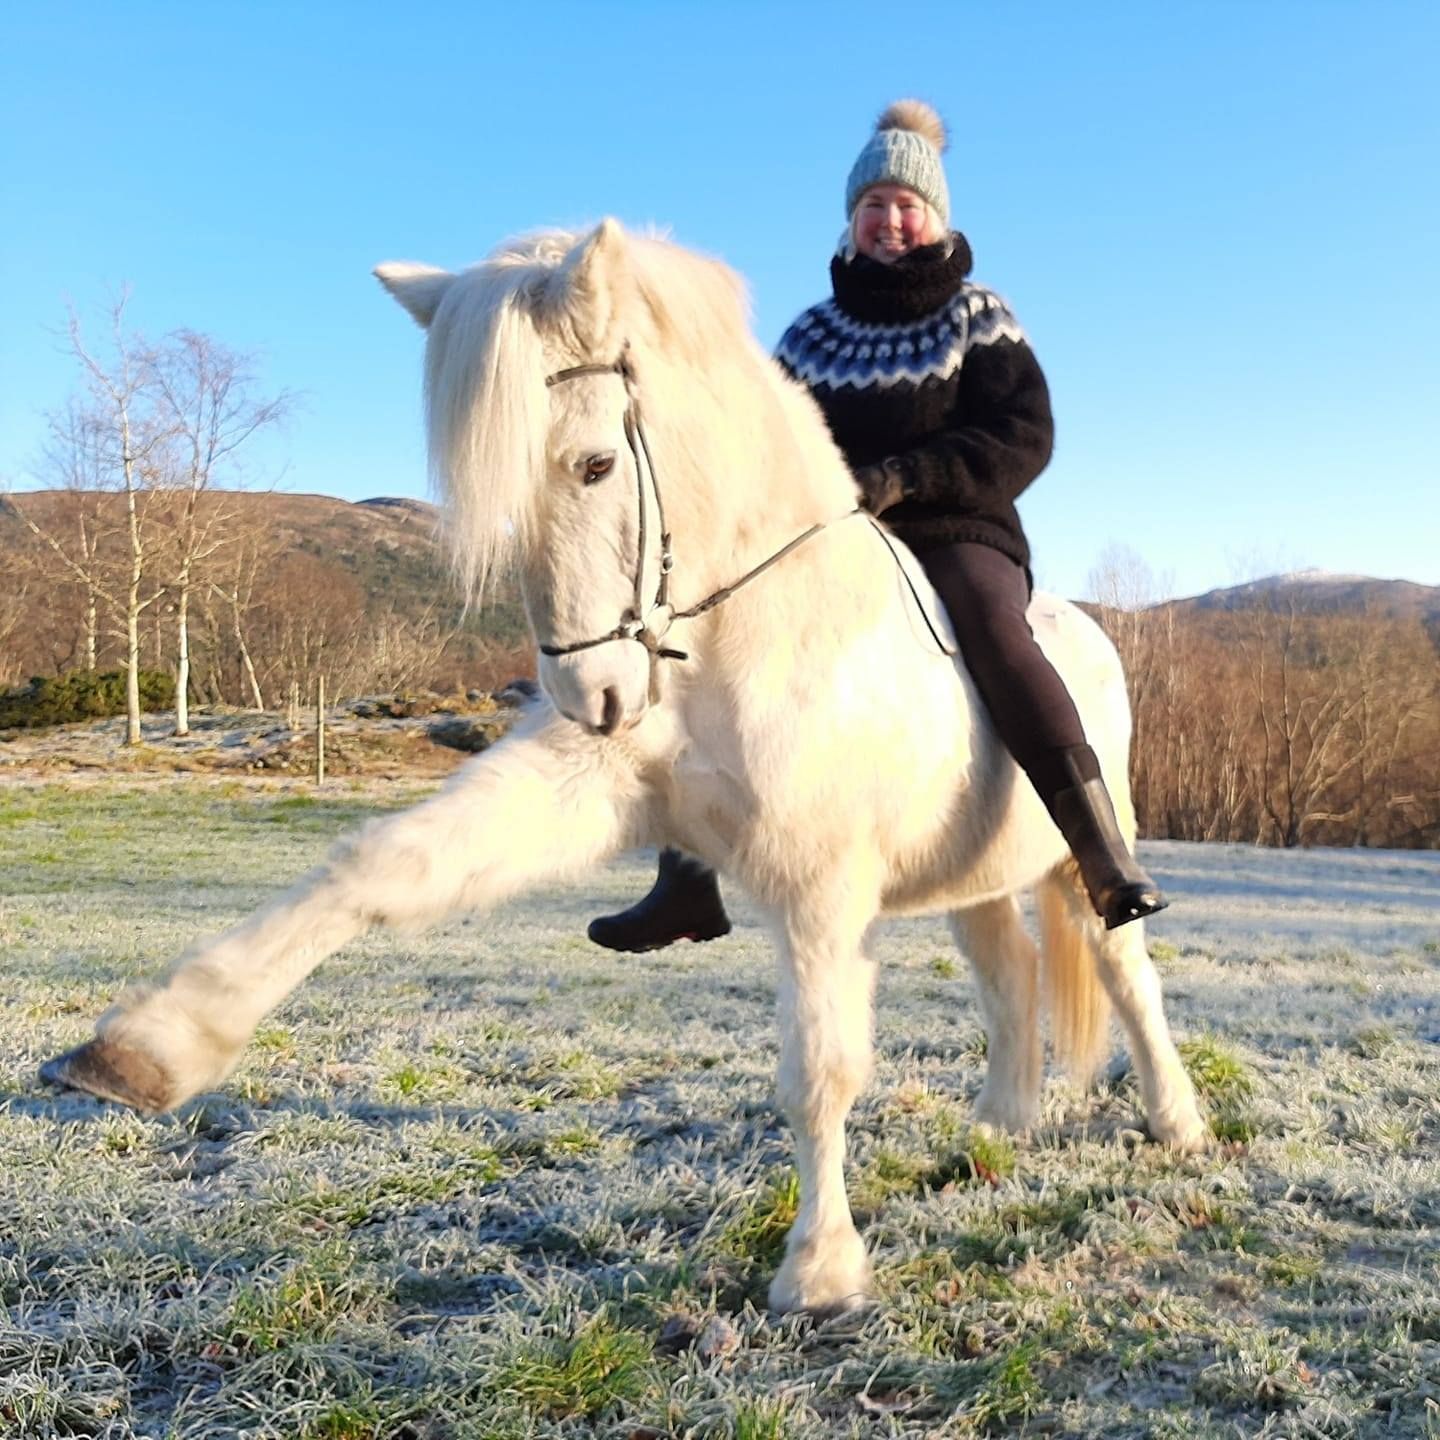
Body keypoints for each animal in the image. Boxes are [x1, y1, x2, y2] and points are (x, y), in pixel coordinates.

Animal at [41, 221, 1206, 1314]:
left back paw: (1176, 1121)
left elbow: (820, 1069)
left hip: (1077, 859)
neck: (739, 634)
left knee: (1125, 976)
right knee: (1010, 975)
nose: (588, 697)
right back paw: (1001, 1128)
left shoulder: (820, 888)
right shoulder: (586, 791)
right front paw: (148, 1048)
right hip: (972, 879)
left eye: (596, 464)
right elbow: (382, 869)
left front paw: (820, 1271)